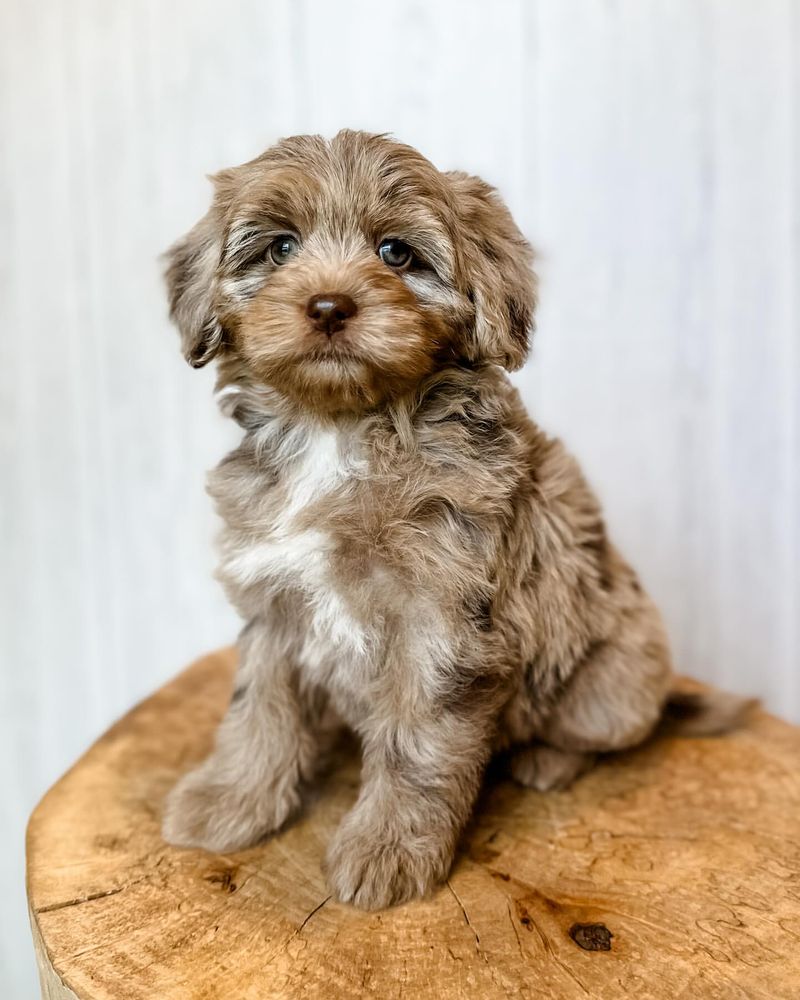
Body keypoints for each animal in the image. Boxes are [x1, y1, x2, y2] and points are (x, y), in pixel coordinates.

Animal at [161, 129, 752, 912]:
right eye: (280, 247)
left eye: (396, 253)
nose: (328, 306)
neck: (341, 429)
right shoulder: (274, 599)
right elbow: (257, 710)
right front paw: (230, 801)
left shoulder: (440, 621)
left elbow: (416, 743)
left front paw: (385, 851)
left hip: (614, 686)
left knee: (598, 734)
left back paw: (545, 759)